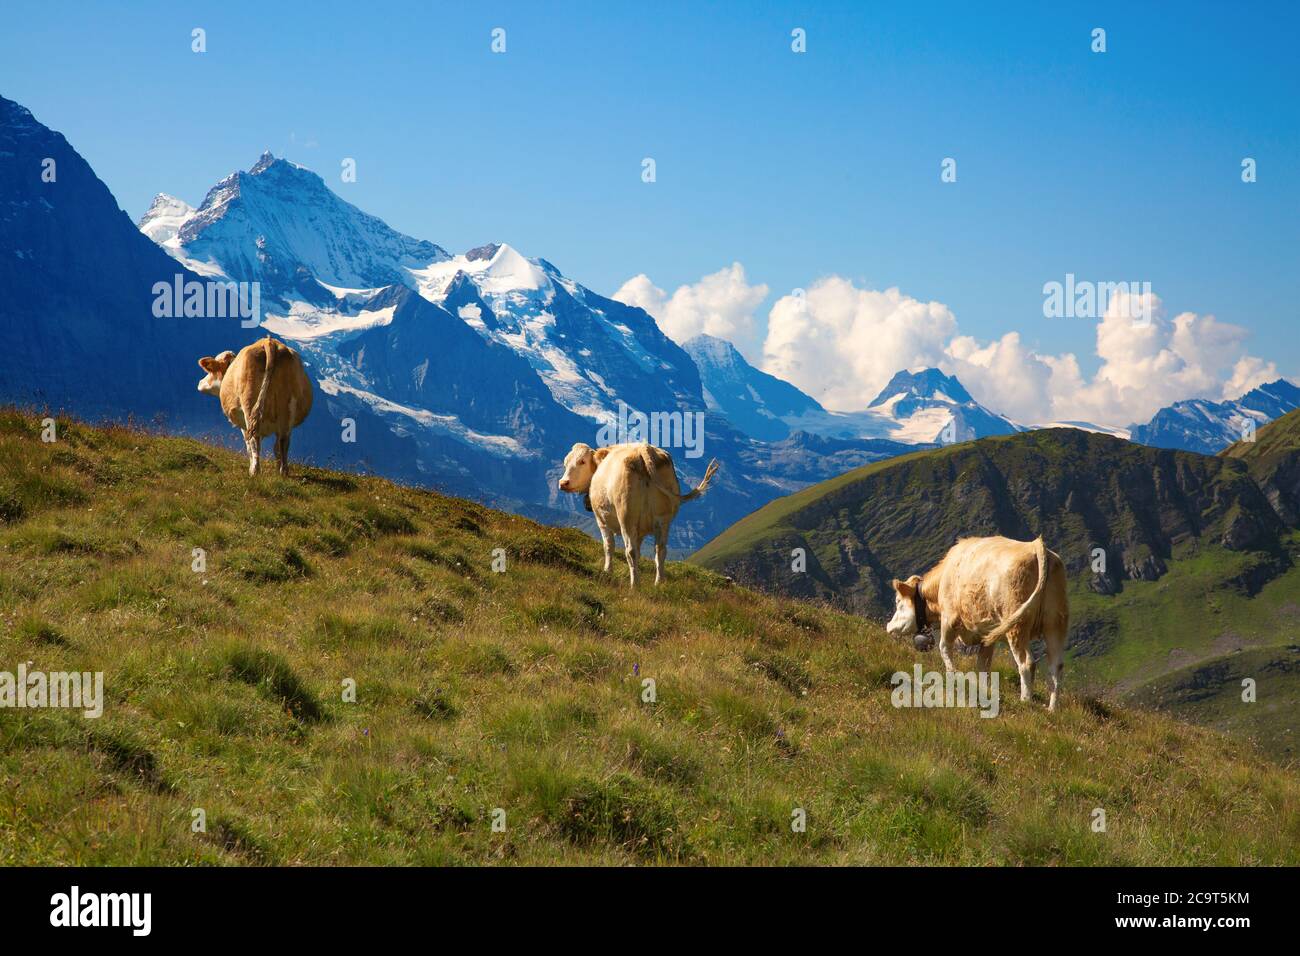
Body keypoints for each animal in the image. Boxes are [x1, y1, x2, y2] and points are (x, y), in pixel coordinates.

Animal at [197, 336, 314, 477]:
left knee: (254, 438)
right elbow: (276, 448)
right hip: (287, 406)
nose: (200, 382)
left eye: (210, 372)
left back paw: (255, 471)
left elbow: (248, 444)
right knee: (283, 440)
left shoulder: (242, 422)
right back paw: (283, 471)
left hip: (249, 403)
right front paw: (277, 469)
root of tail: (269, 342)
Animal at [557, 442, 719, 588]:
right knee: (660, 550)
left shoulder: (601, 520)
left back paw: (634, 585)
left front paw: (607, 571)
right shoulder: (640, 531)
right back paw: (659, 583)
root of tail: (643, 450)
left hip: (626, 517)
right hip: (663, 520)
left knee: (630, 551)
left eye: (582, 461)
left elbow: (608, 546)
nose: (563, 482)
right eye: (565, 463)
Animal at [885, 536, 1069, 711]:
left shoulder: (949, 618)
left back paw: (1025, 701)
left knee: (1026, 663)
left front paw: (952, 675)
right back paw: (1052, 709)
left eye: (897, 601)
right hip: (1055, 623)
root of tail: (1035, 545)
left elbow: (944, 648)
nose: (888, 627)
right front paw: (983, 691)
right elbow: (982, 665)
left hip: (1017, 625)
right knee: (1056, 666)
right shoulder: (986, 636)